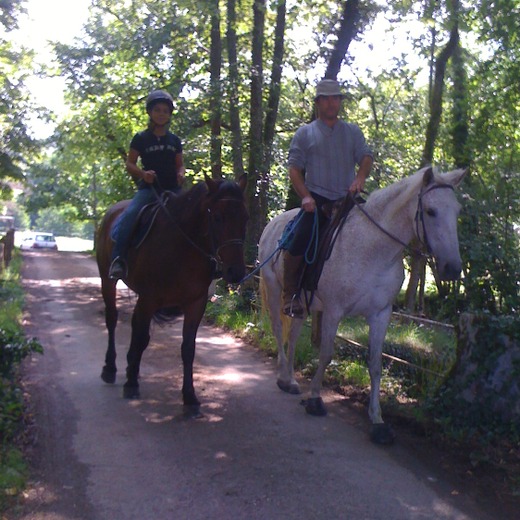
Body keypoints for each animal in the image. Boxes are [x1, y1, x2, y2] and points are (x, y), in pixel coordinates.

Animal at [97, 177, 248, 416]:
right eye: (217, 217)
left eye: (245, 217)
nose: (236, 272)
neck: (182, 248)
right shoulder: (149, 299)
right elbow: (142, 337)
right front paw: (131, 383)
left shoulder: (195, 304)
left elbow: (188, 349)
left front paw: (190, 398)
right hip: (107, 280)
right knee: (112, 319)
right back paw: (110, 368)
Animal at [258, 167, 466, 442]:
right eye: (431, 211)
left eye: (457, 211)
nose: (452, 269)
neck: (373, 250)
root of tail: (273, 224)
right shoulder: (334, 311)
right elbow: (326, 354)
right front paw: (314, 399)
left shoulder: (380, 314)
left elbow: (376, 365)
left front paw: (377, 420)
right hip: (274, 290)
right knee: (278, 329)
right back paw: (283, 376)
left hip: (301, 304)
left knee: (292, 336)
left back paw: (291, 380)